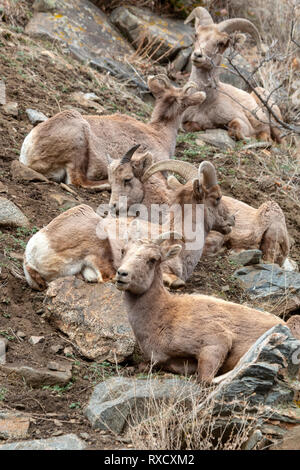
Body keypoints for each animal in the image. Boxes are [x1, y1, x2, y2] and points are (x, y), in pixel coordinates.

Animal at [115, 233, 300, 384]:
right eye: (123, 251)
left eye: (153, 259)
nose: (122, 274)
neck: (162, 314)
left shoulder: (216, 342)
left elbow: (206, 379)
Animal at [182, 7, 282, 142]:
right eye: (196, 35)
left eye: (221, 43)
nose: (198, 55)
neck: (204, 104)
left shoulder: (243, 122)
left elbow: (236, 128)